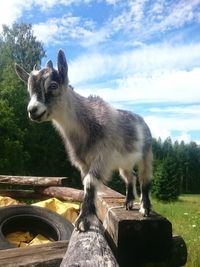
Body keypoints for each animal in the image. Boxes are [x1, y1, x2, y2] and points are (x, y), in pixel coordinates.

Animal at [15, 50, 153, 232]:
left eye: (53, 85)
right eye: (29, 89)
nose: (33, 111)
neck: (86, 124)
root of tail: (141, 120)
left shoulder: (102, 157)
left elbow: (90, 183)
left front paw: (83, 220)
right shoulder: (83, 163)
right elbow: (87, 186)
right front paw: (88, 214)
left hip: (146, 154)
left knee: (145, 178)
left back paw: (145, 208)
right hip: (125, 162)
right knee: (130, 177)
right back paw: (129, 203)